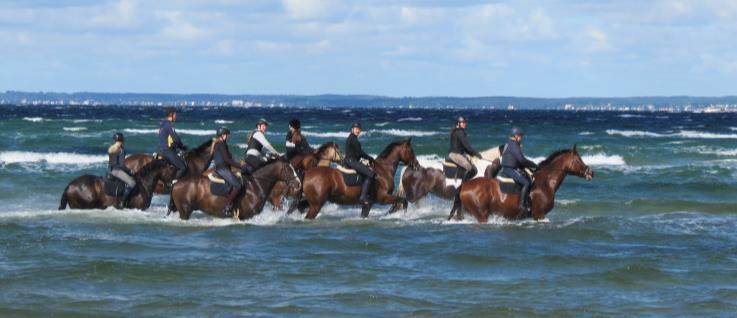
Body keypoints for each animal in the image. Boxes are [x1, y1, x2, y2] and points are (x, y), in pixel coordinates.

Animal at [168, 159, 300, 221]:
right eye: (289, 169)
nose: (298, 183)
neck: (255, 185)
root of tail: (176, 183)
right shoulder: (246, 216)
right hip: (185, 210)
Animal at [448, 145, 592, 222]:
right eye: (578, 159)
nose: (591, 173)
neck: (546, 182)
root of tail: (464, 186)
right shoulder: (539, 215)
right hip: (481, 214)